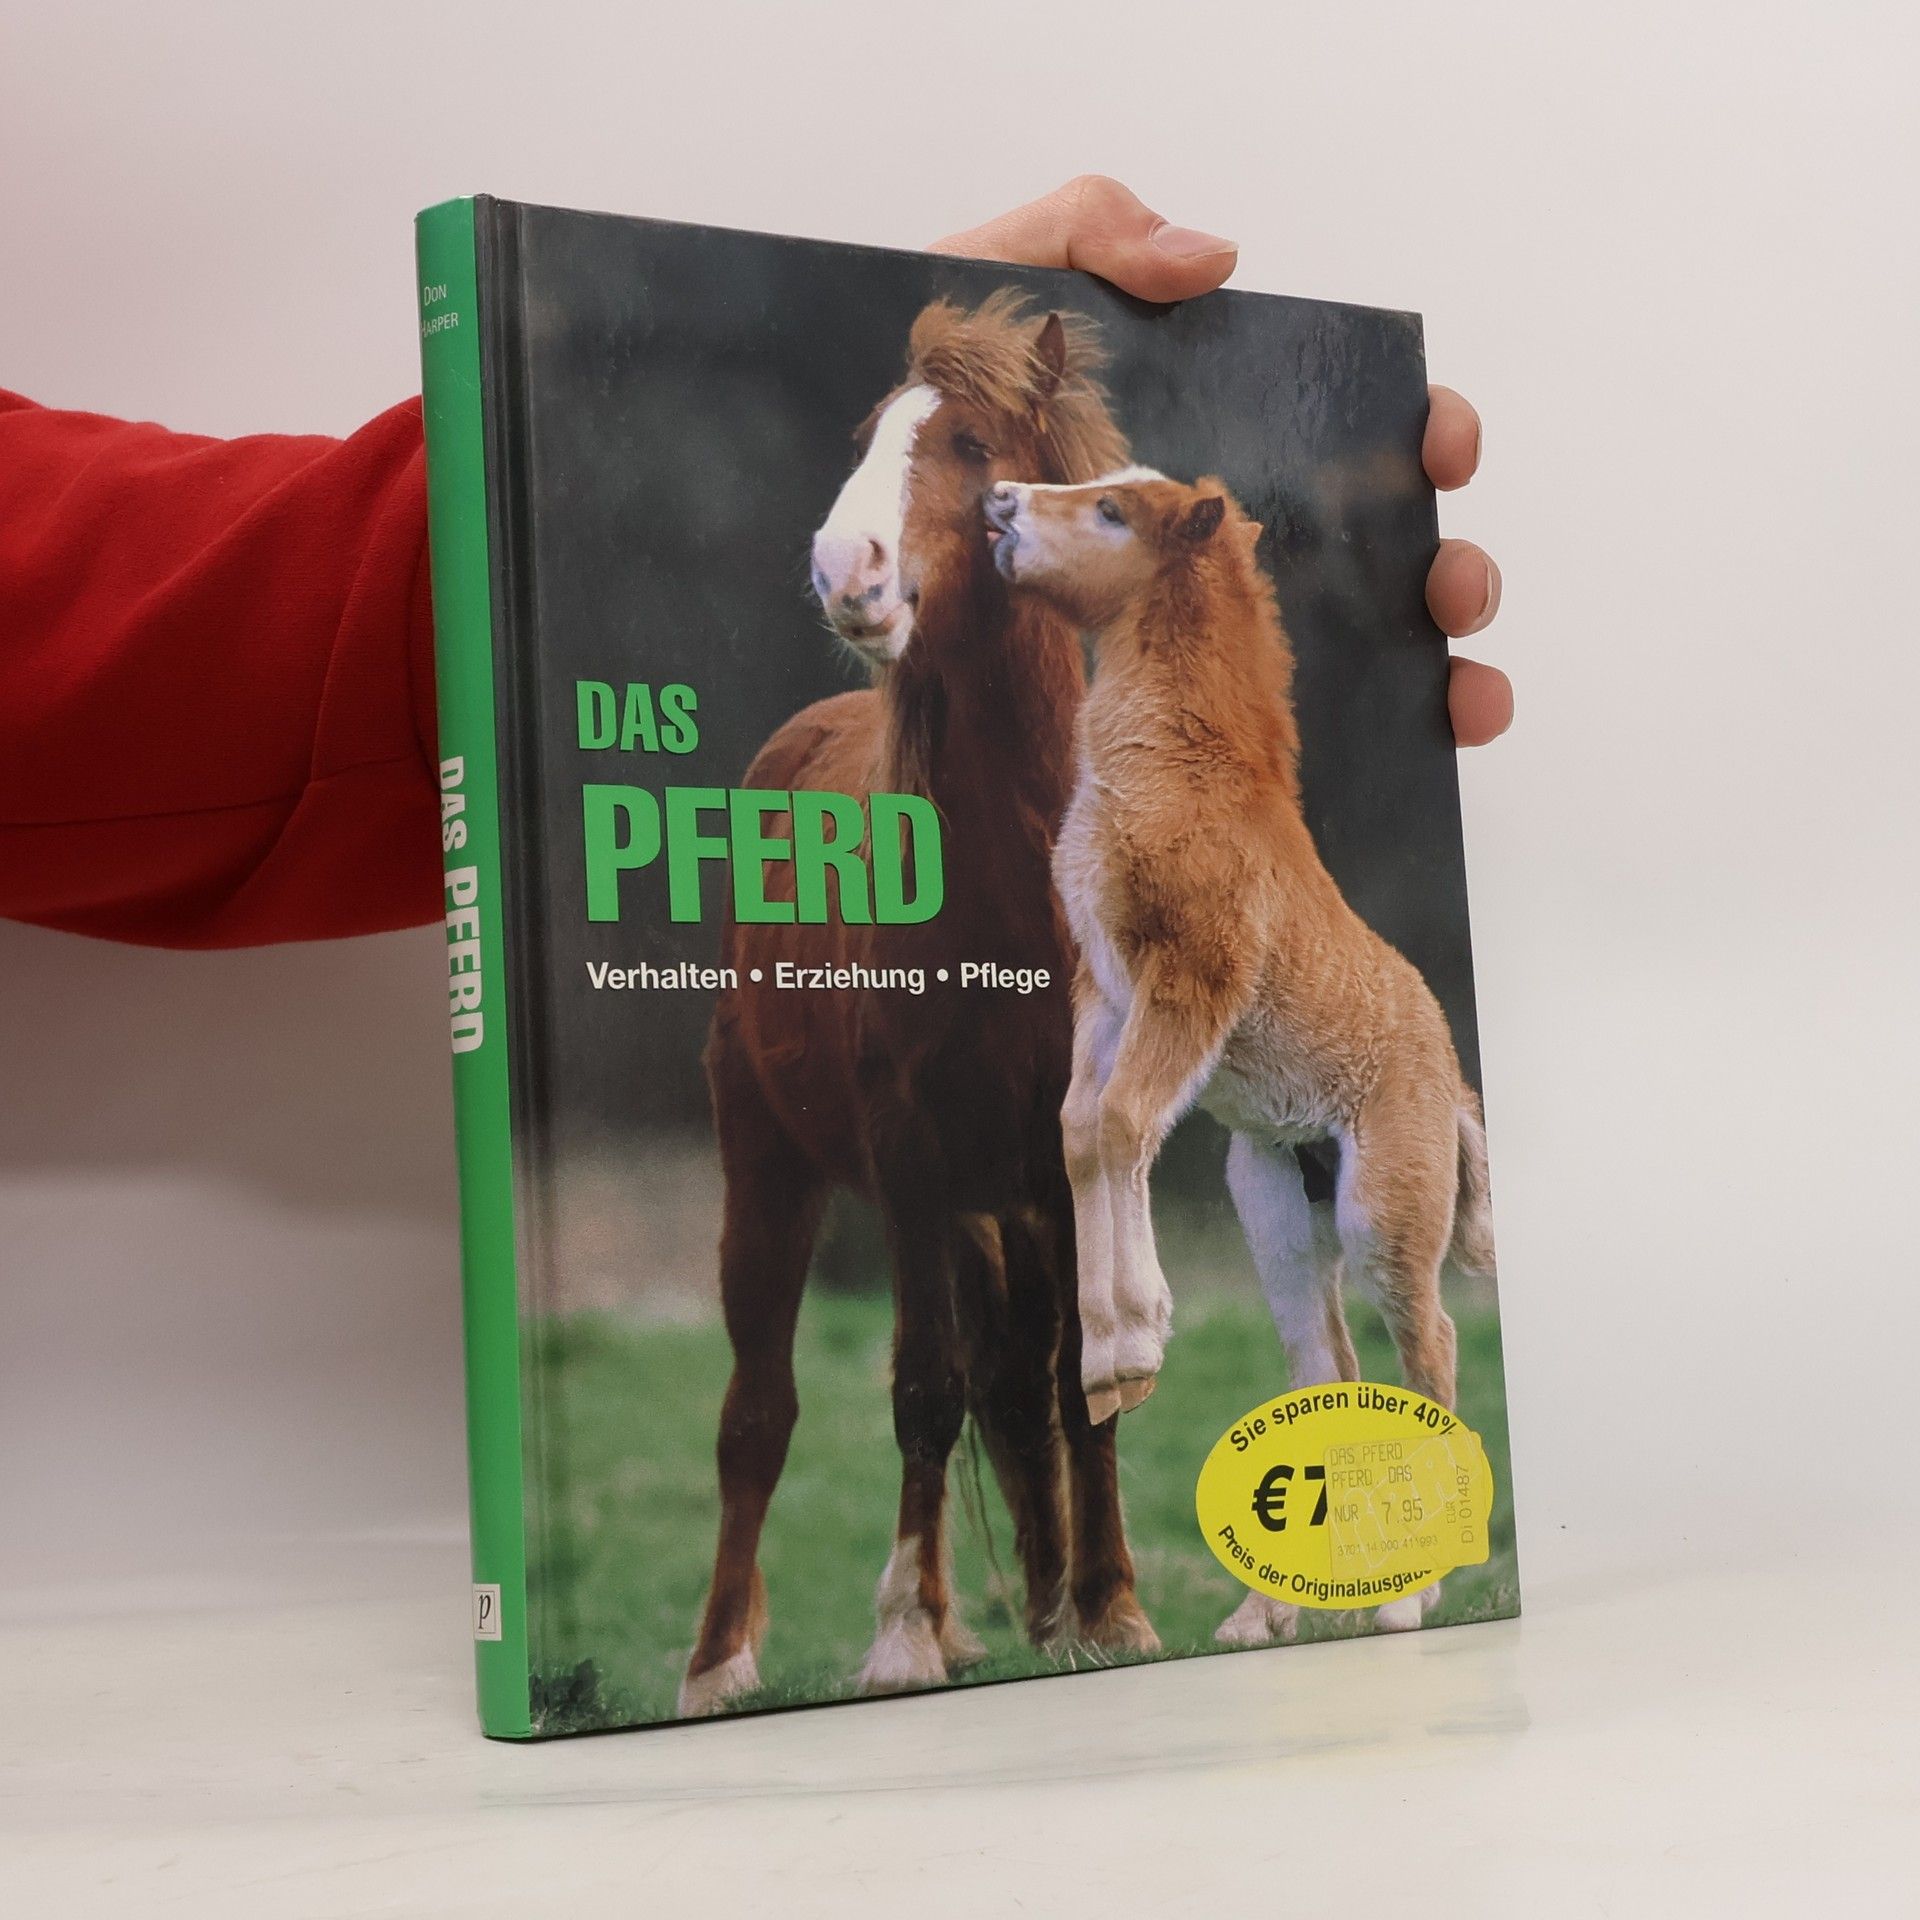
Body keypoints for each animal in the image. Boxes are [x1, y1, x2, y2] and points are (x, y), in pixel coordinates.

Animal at [679, 294, 1158, 1717]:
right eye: (875, 439)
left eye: (973, 445)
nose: (851, 567)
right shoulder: (908, 1158)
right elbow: (923, 1387)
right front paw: (901, 1636)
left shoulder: (1066, 1162)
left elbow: (1075, 1382)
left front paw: (1109, 1611)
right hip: (774, 1169)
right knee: (761, 1411)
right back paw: (721, 1663)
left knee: (1019, 1380)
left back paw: (1038, 1606)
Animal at [985, 468, 1497, 1643]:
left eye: (1114, 513)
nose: (999, 502)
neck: (1182, 771)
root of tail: (1452, 1082)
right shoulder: (1104, 993)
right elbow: (1081, 1132)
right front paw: (1108, 1364)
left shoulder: (1192, 981)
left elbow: (1122, 1122)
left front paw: (1133, 1347)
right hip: (1276, 1211)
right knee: (1328, 1360)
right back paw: (1271, 1615)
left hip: (1383, 1210)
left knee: (1433, 1342)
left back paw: (1414, 1597)